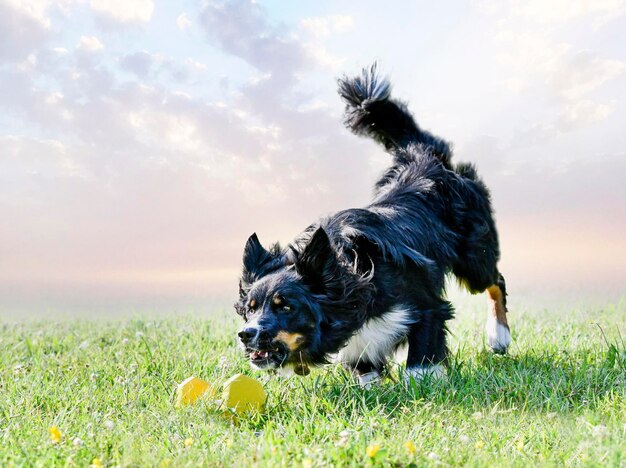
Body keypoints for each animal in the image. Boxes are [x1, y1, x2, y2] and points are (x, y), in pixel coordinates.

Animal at [232, 65, 510, 388]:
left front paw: (420, 386)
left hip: (473, 254)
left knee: (495, 280)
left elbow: (422, 355)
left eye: (286, 306)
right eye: (250, 309)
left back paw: (499, 336)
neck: (351, 276)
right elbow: (364, 366)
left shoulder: (426, 302)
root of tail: (423, 156)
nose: (245, 334)